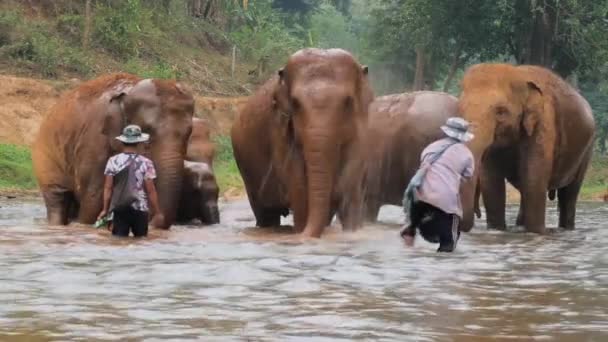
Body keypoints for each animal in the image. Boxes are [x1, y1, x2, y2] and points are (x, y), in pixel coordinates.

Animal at [32, 73, 194, 228]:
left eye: (189, 133)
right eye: (147, 131)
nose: (154, 220)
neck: (130, 89)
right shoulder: (94, 140)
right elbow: (93, 197)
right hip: (46, 156)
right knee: (57, 200)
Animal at [232, 47, 372, 238]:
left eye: (348, 102)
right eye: (296, 104)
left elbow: (352, 177)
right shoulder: (280, 128)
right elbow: (297, 182)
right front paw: (300, 229)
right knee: (265, 214)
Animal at [458, 63, 596, 235]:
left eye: (501, 111)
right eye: (460, 109)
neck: (519, 75)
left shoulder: (544, 124)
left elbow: (533, 178)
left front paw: (536, 233)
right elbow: (491, 181)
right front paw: (496, 231)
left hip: (587, 149)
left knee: (569, 194)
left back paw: (566, 229)